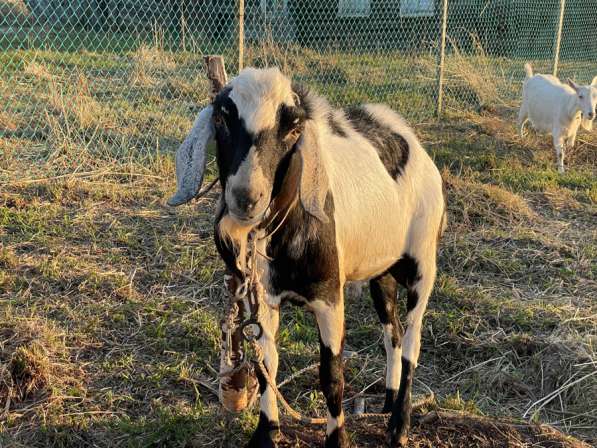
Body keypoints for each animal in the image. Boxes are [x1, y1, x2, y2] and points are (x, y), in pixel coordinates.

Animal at [168, 67, 448, 448]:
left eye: (294, 129)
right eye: (222, 119)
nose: (246, 198)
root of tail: (407, 136)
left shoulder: (329, 297)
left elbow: (331, 375)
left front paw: (337, 439)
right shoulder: (263, 300)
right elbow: (266, 365)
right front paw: (265, 433)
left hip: (423, 263)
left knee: (411, 340)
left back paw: (399, 426)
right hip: (381, 271)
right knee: (393, 332)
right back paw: (388, 405)